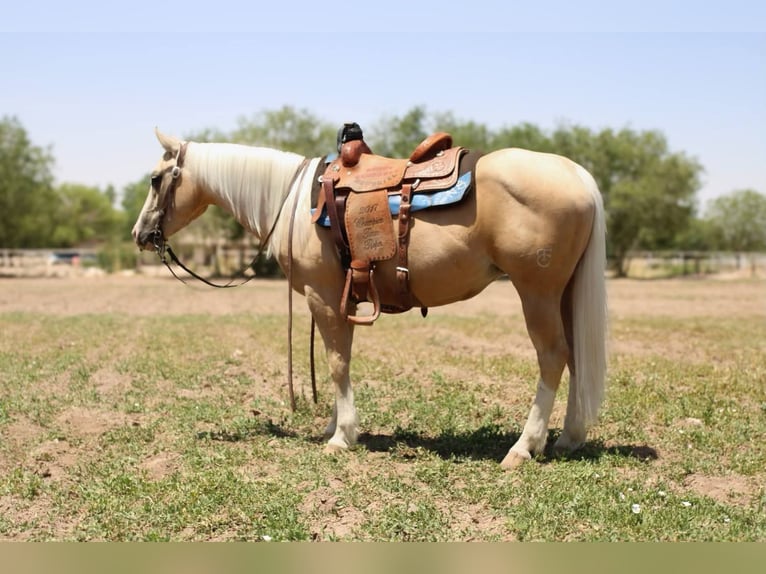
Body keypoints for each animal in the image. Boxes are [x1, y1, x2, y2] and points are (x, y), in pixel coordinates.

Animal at [132, 128, 607, 469]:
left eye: (155, 180)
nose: (140, 234)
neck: (295, 203)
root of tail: (577, 175)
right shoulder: (342, 300)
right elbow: (339, 360)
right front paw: (334, 425)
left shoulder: (324, 297)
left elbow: (337, 362)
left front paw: (342, 436)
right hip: (562, 294)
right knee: (575, 357)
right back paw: (567, 439)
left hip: (536, 292)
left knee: (552, 356)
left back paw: (524, 447)